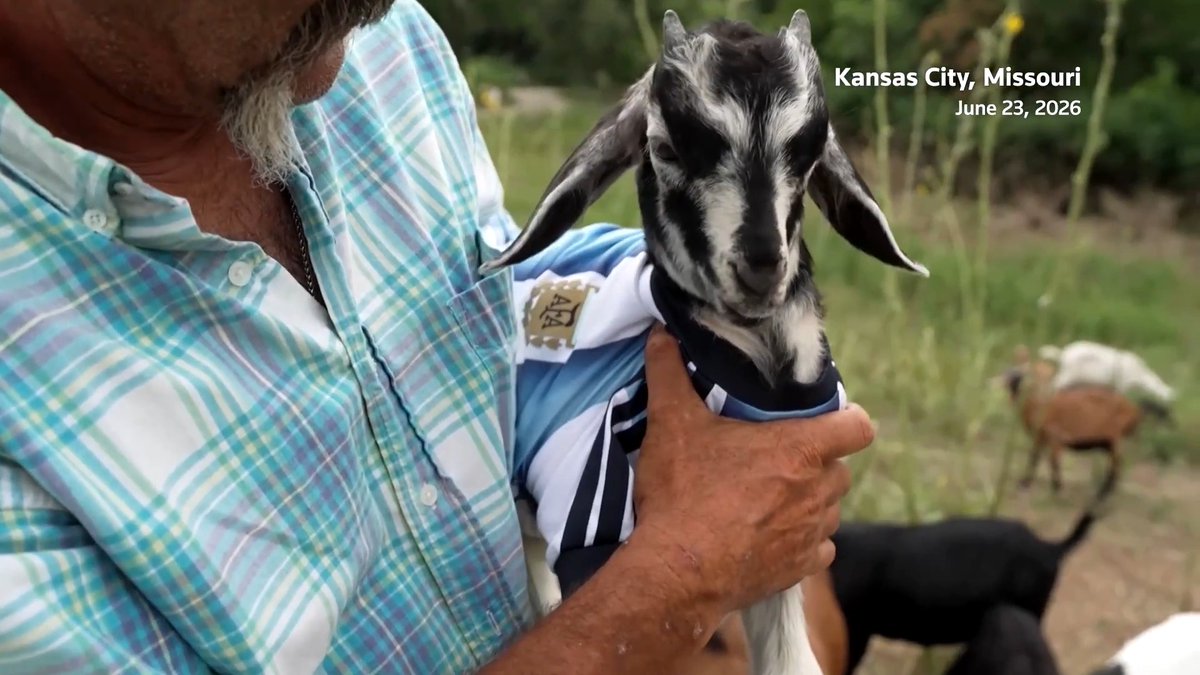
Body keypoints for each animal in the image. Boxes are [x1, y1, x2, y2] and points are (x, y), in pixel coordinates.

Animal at [1001, 346, 1143, 493]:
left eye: (1038, 373)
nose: (1010, 379)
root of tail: (1135, 411)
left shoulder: (1056, 437)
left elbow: (1053, 461)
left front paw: (1057, 487)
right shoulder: (1040, 436)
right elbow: (1034, 457)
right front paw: (1025, 482)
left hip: (1115, 439)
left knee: (1115, 469)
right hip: (1109, 442)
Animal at [1039, 341, 1175, 405]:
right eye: (1166, 397)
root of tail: (1063, 353)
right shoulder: (1122, 384)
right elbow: (1119, 396)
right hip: (1068, 375)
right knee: (1054, 385)